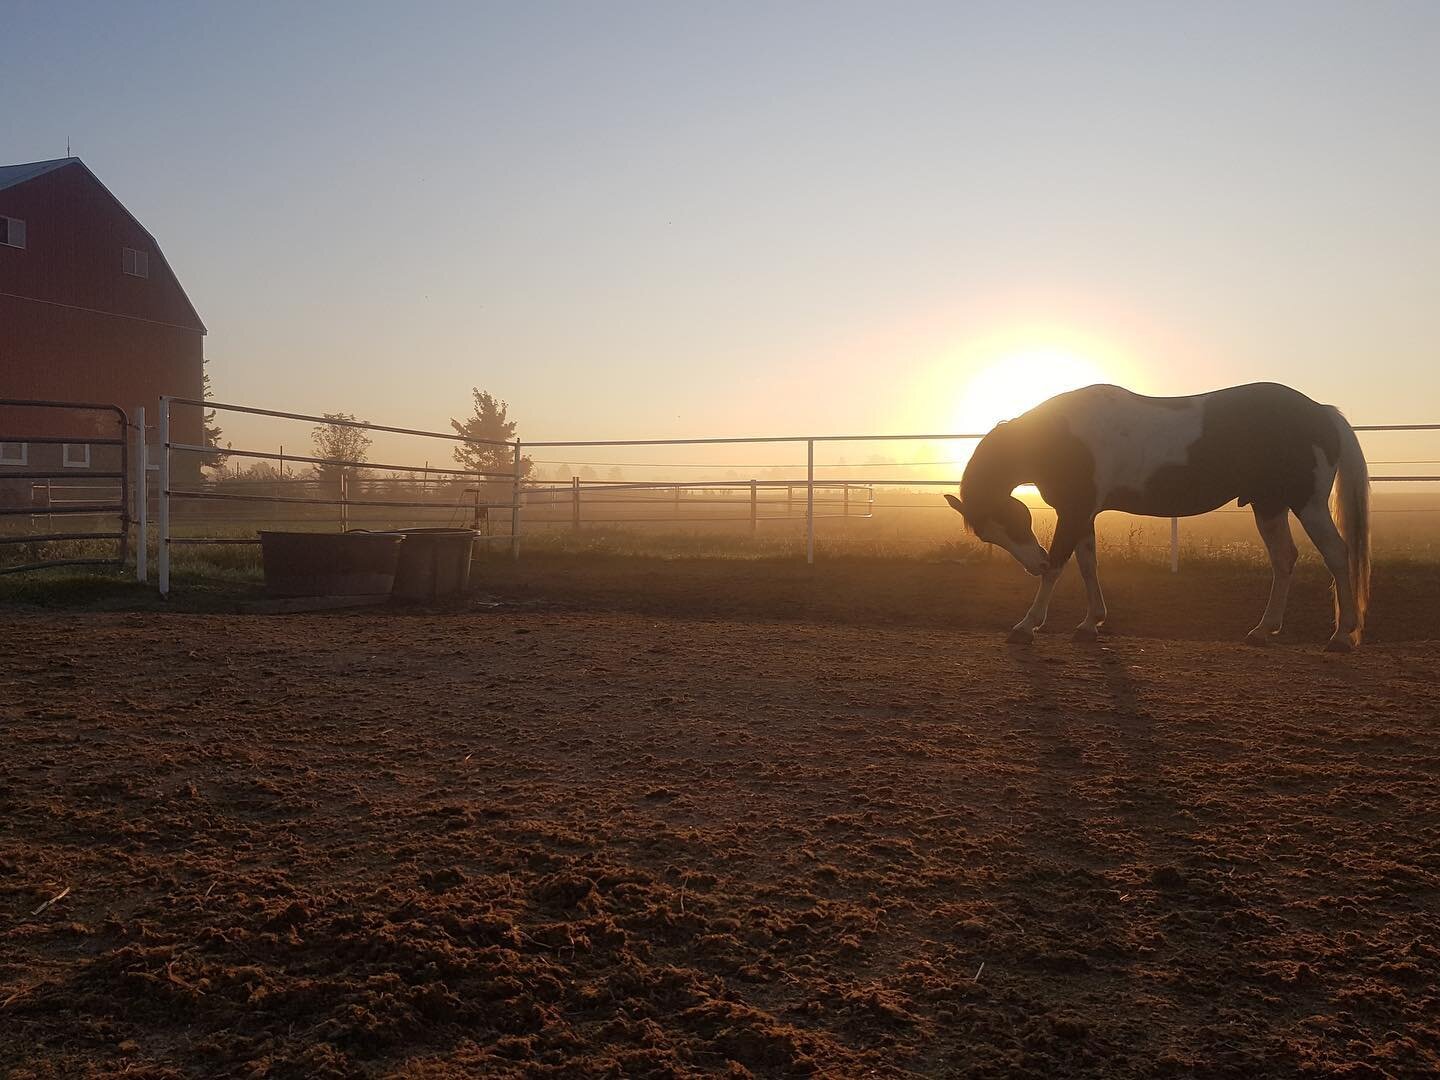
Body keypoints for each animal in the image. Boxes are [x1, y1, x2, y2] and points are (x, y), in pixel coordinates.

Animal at [944, 380, 1370, 650]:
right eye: (990, 535)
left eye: (1014, 520)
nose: (1034, 563)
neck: (1062, 436)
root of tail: (1320, 412)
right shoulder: (1083, 514)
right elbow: (1087, 565)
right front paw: (1090, 624)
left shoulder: (1074, 512)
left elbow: (1061, 567)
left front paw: (1026, 626)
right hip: (1269, 506)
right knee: (1284, 560)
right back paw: (1263, 631)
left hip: (1308, 504)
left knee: (1337, 554)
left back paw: (1342, 636)